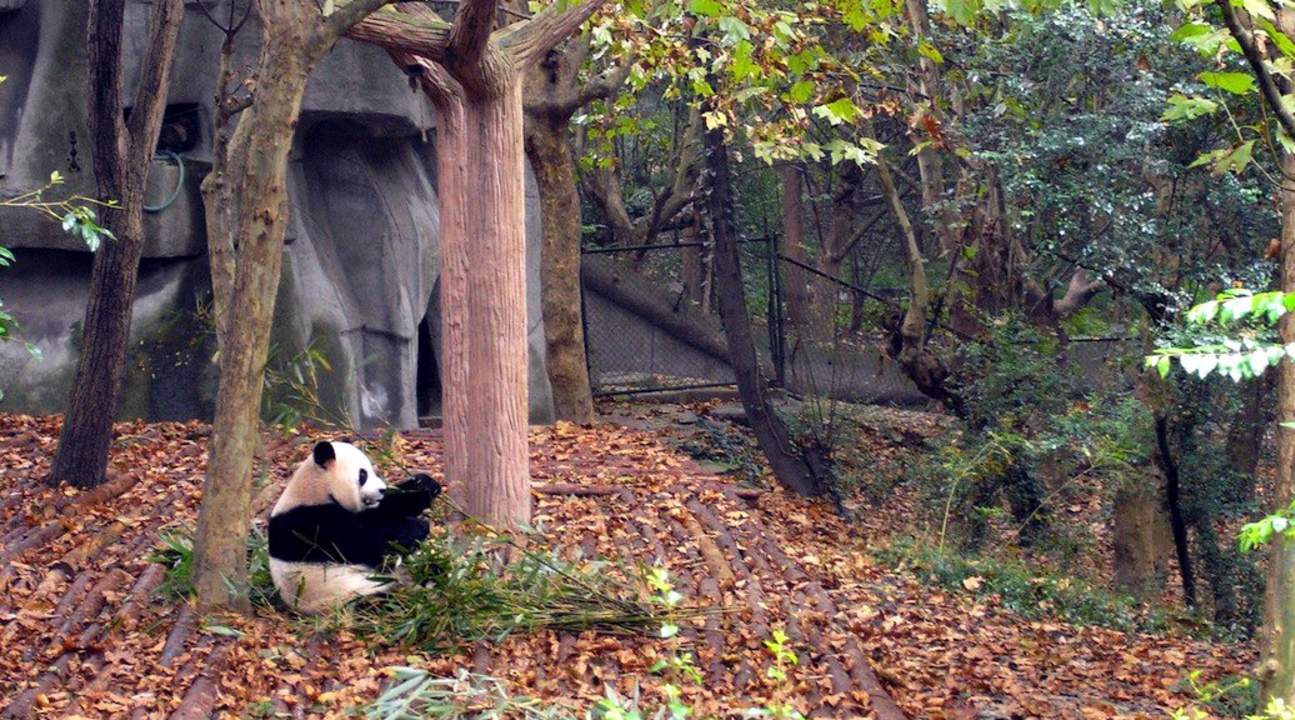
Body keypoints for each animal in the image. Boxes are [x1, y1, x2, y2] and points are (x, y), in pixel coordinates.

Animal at [267, 440, 441, 613]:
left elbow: (383, 511)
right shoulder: (309, 525)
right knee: (384, 600)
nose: (382, 489)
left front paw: (423, 484)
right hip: (346, 595)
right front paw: (418, 523)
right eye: (363, 475)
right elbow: (366, 540)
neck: (315, 488)